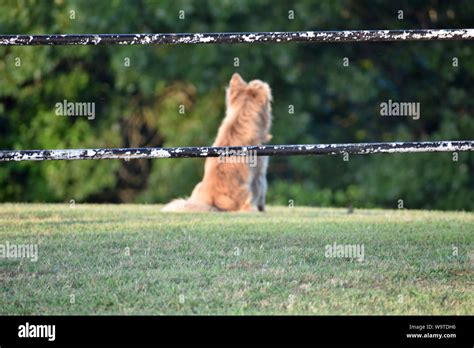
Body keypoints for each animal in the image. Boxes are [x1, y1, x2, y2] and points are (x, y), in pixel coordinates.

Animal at [163, 72, 274, 212]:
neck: (240, 118)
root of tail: (213, 202)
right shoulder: (260, 172)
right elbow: (262, 193)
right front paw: (263, 210)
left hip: (198, 186)